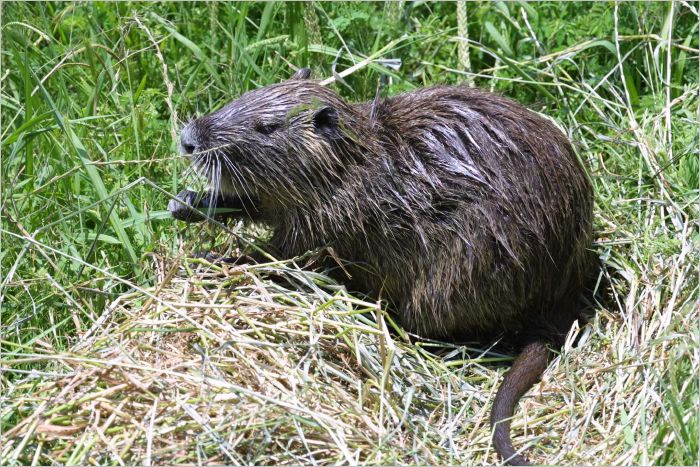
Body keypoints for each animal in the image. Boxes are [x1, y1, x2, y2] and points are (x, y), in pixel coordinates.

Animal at [169, 69, 594, 465]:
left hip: (464, 273)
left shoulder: (336, 217)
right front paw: (186, 203)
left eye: (266, 127)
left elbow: (286, 257)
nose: (188, 139)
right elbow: (255, 206)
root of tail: (559, 303)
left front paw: (216, 259)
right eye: (244, 97)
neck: (361, 164)